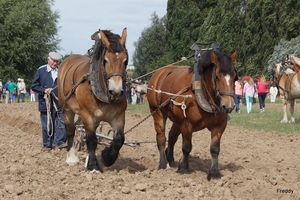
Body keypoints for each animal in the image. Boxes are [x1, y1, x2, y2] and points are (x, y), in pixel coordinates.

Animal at [57, 28, 127, 172]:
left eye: (126, 60)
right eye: (105, 60)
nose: (116, 92)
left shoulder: (119, 116)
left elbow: (119, 139)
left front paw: (107, 158)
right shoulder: (86, 114)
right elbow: (92, 140)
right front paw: (93, 166)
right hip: (67, 108)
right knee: (71, 130)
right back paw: (72, 157)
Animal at [146, 49, 238, 180]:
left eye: (235, 77)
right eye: (217, 77)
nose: (228, 106)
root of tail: (158, 73)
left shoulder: (219, 126)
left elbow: (215, 149)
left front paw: (214, 173)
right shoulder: (187, 124)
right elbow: (187, 147)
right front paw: (183, 168)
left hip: (177, 121)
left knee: (172, 137)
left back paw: (170, 159)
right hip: (157, 112)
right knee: (161, 137)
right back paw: (163, 163)